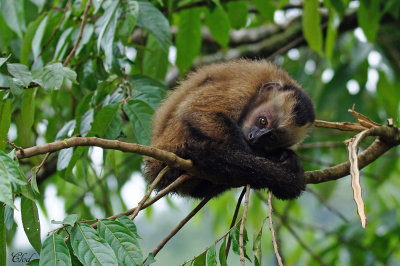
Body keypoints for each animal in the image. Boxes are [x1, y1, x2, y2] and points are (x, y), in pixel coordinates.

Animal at [144, 58, 316, 200]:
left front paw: (284, 157)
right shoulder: (243, 88)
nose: (255, 137)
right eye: (262, 121)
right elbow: (194, 111)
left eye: (272, 137)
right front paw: (274, 157)